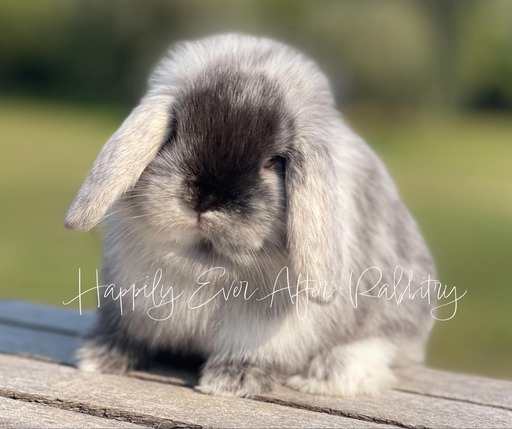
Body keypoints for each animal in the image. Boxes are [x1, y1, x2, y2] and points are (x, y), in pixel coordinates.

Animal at [65, 33, 436, 398]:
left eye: (273, 161)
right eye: (176, 133)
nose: (206, 199)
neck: (205, 267)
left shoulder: (267, 330)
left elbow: (252, 354)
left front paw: (231, 382)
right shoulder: (126, 304)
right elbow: (126, 336)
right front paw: (100, 358)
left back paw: (327, 376)